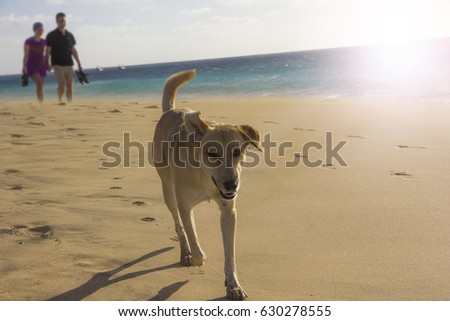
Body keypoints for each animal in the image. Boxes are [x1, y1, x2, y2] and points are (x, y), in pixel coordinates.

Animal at [153, 69, 260, 298]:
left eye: (237, 152)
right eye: (212, 153)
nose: (232, 185)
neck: (205, 178)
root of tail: (171, 111)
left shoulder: (229, 211)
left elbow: (230, 253)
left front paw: (233, 285)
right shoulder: (185, 206)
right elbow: (194, 241)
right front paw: (197, 257)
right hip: (168, 190)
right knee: (179, 225)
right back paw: (185, 254)